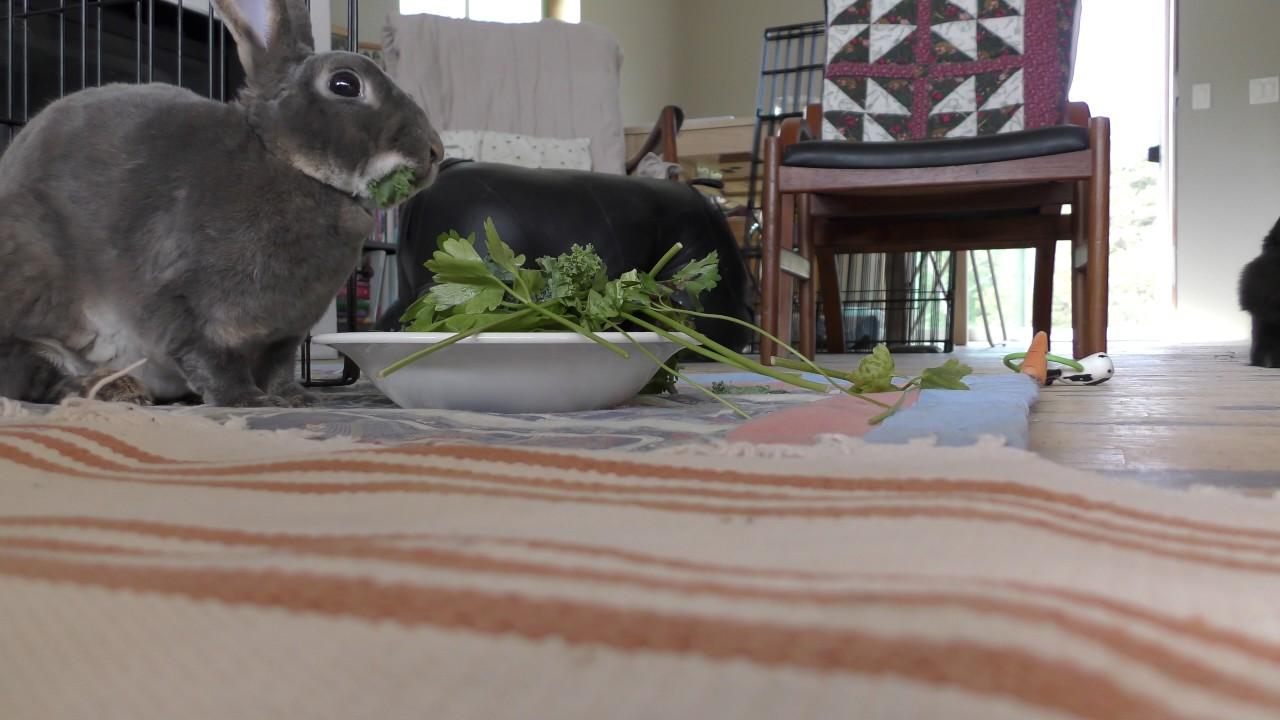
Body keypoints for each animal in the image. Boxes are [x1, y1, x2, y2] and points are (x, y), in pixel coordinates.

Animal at [0, 0, 442, 407]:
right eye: (345, 84)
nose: (435, 151)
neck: (288, 162)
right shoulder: (184, 306)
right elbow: (212, 359)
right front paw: (250, 401)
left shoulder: (285, 334)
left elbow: (278, 367)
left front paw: (296, 398)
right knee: (30, 370)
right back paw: (110, 389)